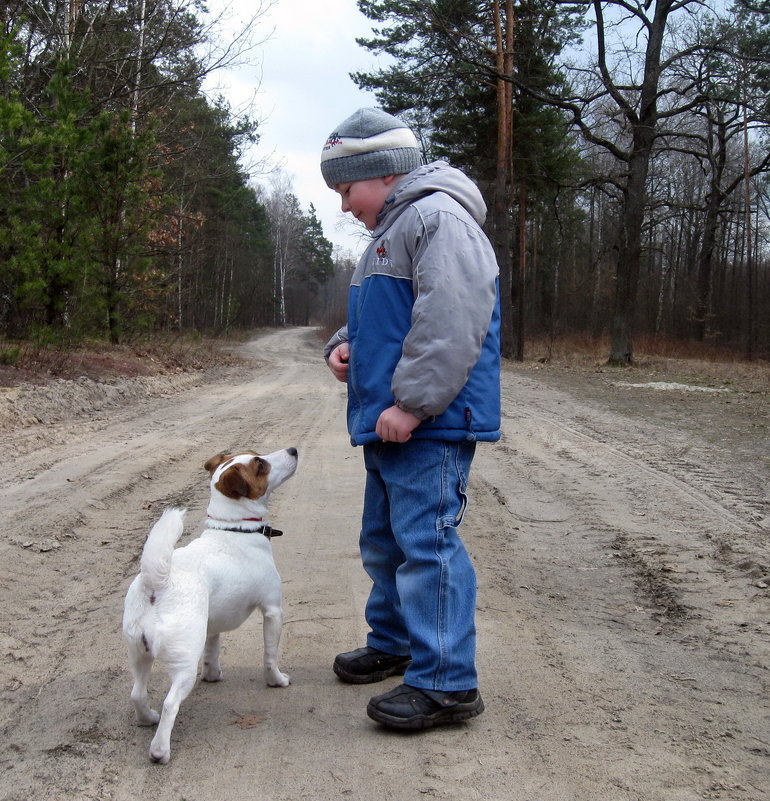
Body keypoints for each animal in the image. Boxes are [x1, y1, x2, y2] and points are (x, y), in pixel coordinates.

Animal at [122, 444, 296, 764]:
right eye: (261, 464)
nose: (292, 449)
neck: (233, 529)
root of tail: (158, 583)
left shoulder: (212, 625)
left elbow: (212, 651)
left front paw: (213, 675)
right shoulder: (273, 612)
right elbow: (270, 655)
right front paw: (276, 680)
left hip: (139, 654)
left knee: (137, 694)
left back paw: (147, 718)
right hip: (183, 663)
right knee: (170, 704)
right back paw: (160, 749)